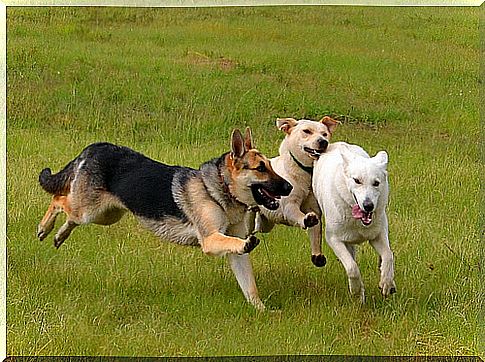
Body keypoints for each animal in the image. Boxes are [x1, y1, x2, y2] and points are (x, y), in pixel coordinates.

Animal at [36, 129, 292, 310]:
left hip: (106, 215)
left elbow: (249, 285)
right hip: (89, 211)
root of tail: (95, 147)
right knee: (59, 200)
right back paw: (44, 227)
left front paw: (262, 311)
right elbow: (235, 243)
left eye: (270, 166)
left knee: (69, 215)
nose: (289, 187)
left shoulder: (235, 253)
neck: (220, 189)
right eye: (260, 169)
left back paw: (59, 236)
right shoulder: (210, 240)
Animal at [255, 117, 338, 268]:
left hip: (264, 223)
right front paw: (306, 219)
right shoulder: (289, 206)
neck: (303, 174)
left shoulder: (314, 207)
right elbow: (299, 215)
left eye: (325, 134)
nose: (323, 142)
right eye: (307, 131)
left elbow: (316, 231)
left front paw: (317, 256)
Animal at [312, 141, 396, 302]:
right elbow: (352, 268)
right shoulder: (334, 239)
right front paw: (357, 291)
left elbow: (388, 255)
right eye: (357, 181)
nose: (368, 206)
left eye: (376, 183)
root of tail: (338, 144)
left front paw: (386, 283)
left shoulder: (377, 235)